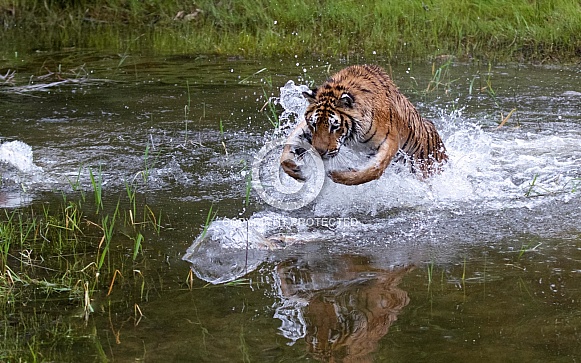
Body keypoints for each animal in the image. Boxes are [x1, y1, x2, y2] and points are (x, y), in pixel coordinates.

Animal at [280, 63, 448, 186]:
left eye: (334, 126)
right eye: (314, 125)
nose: (319, 153)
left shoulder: (390, 141)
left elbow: (373, 170)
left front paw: (339, 176)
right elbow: (290, 143)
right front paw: (296, 170)